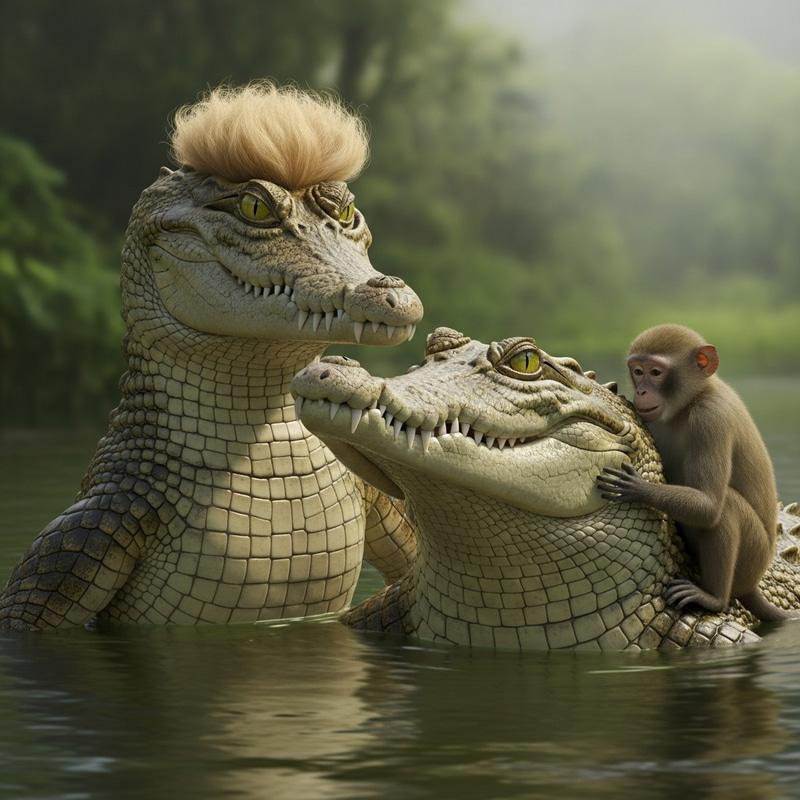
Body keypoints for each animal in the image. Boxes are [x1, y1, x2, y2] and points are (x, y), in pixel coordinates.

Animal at [596, 323, 791, 622]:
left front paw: (637, 488)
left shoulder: (711, 418)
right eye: (638, 371)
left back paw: (714, 598)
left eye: (655, 372)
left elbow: (708, 506)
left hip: (752, 557)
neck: (694, 399)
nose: (641, 392)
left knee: (725, 507)